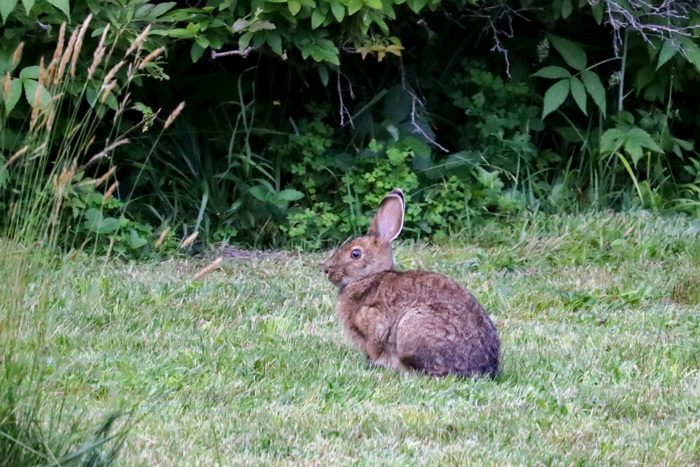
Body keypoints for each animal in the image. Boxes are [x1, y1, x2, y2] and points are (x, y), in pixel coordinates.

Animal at [322, 188, 498, 378]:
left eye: (355, 254)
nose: (326, 269)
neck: (370, 277)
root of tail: (487, 369)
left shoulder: (374, 323)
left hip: (412, 326)